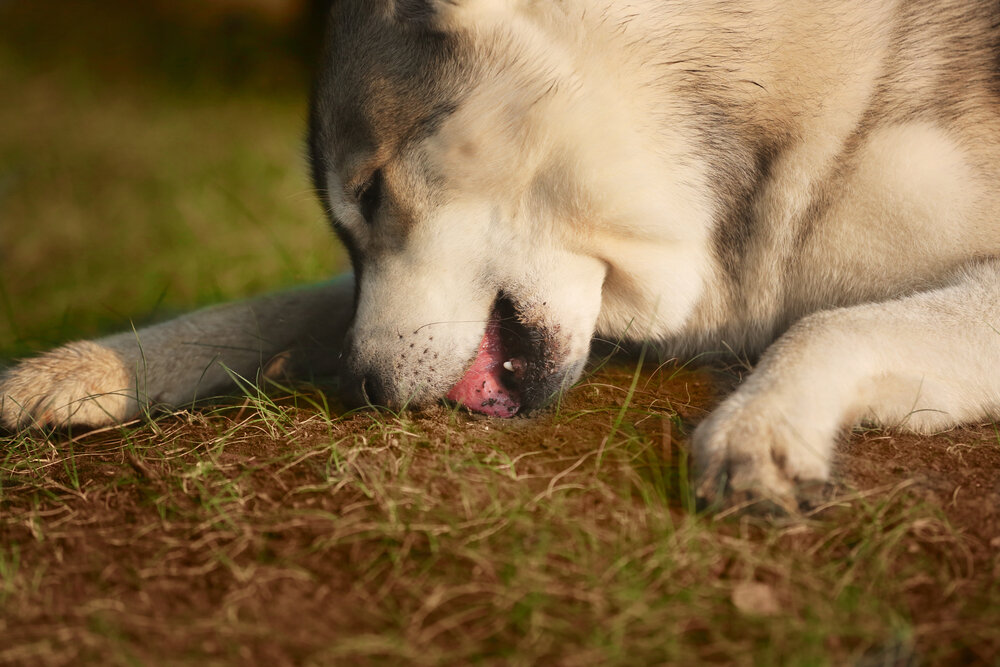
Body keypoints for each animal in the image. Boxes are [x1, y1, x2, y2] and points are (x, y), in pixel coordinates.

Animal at [1, 1, 1000, 512]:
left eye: (370, 192)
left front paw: (763, 427)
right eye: (349, 222)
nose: (360, 386)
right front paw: (86, 367)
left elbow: (828, 324)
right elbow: (280, 303)